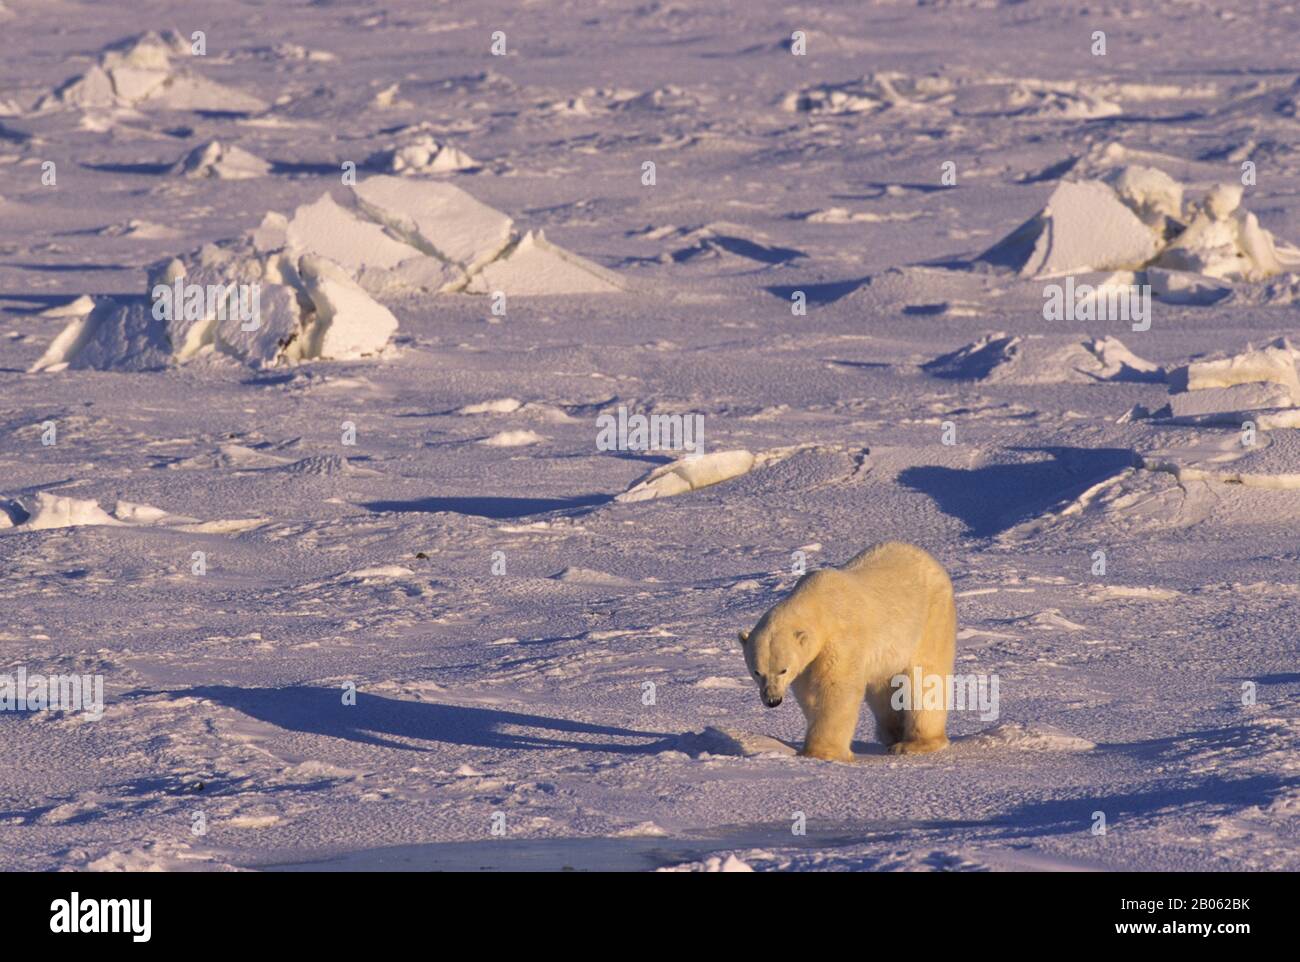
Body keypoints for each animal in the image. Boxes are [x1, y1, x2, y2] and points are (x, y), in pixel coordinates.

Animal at [737, 541, 956, 762]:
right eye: (757, 672)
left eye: (783, 670)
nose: (773, 700)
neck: (818, 607)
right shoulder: (808, 662)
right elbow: (809, 694)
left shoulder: (841, 638)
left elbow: (836, 688)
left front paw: (820, 753)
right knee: (882, 689)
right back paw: (893, 733)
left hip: (930, 619)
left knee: (925, 676)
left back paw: (914, 743)